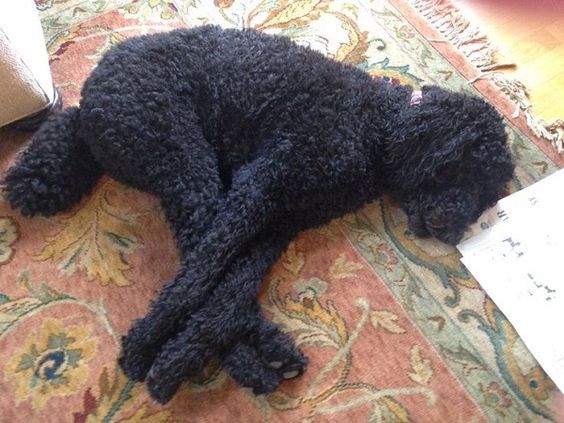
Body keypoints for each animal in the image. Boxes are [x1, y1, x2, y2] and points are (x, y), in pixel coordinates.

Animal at [4, 25, 516, 404]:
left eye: (488, 195)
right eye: (467, 168)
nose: (455, 230)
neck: (374, 123)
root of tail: (90, 93)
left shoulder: (281, 218)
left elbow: (237, 283)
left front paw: (189, 352)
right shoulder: (258, 188)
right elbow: (205, 274)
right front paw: (149, 347)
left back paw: (262, 351)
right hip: (185, 160)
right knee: (195, 258)